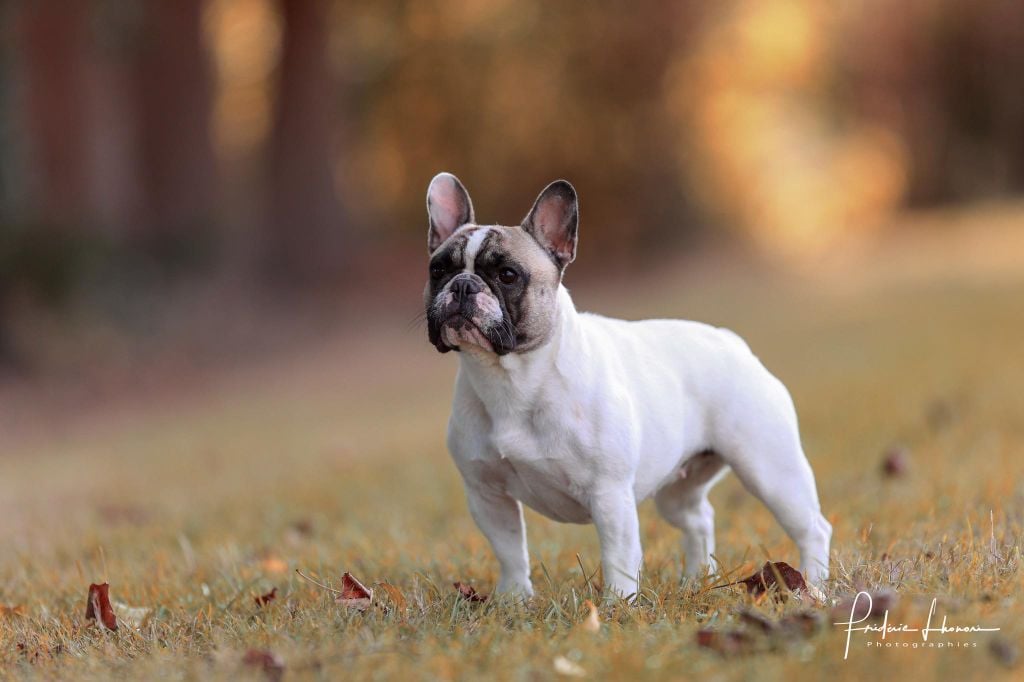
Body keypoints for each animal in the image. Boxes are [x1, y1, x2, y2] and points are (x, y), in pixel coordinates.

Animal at [423, 173, 831, 598]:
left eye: (507, 275)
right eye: (437, 270)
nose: (463, 285)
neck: (511, 378)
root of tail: (732, 341)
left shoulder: (609, 493)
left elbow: (617, 557)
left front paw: (617, 602)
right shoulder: (487, 494)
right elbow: (509, 550)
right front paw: (514, 598)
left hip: (771, 469)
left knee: (813, 528)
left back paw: (813, 585)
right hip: (679, 489)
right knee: (699, 518)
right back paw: (697, 579)